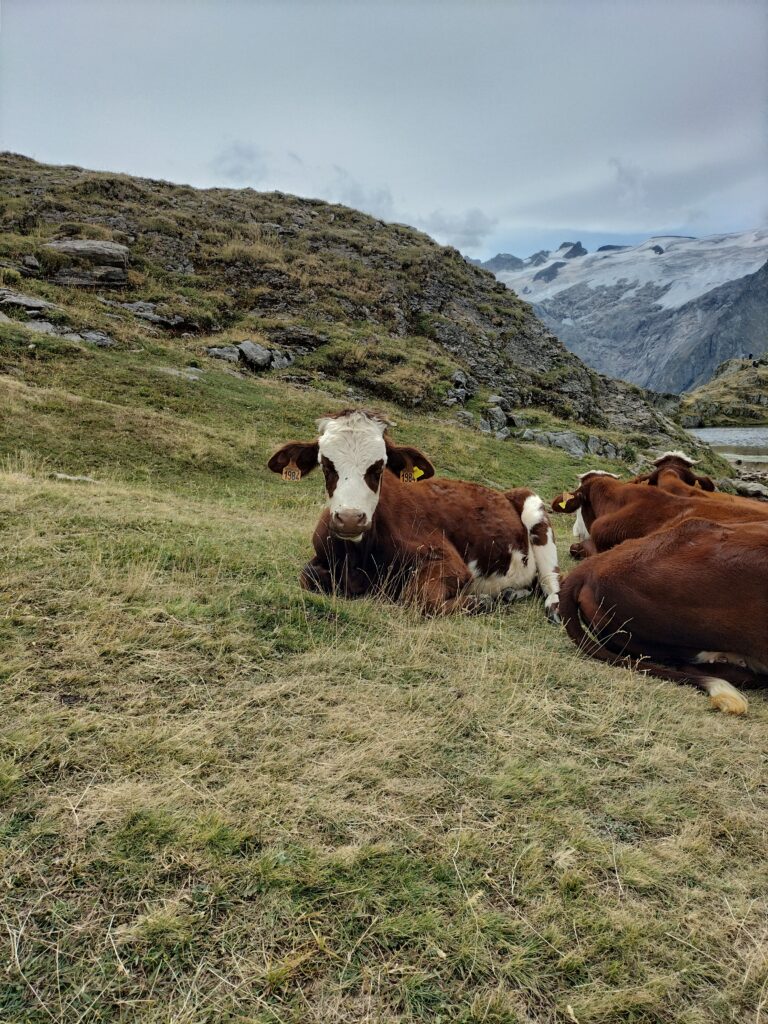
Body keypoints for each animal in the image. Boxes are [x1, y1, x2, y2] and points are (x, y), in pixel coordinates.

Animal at [267, 409, 561, 618]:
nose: (350, 518)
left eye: (379, 467)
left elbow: (417, 598)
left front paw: (480, 601)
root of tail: (505, 493)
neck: (357, 559)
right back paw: (511, 593)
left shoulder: (447, 560)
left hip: (535, 510)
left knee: (551, 580)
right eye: (326, 465)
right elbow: (306, 576)